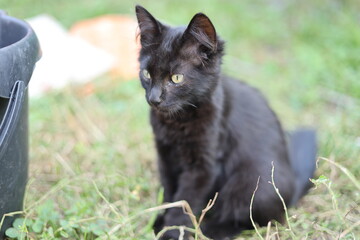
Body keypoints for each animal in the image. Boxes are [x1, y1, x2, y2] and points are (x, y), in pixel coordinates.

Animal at [134, 6, 316, 240]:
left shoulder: (205, 166)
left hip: (252, 183)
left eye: (176, 78)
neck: (176, 121)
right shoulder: (165, 156)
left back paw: (209, 229)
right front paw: (159, 222)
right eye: (147, 74)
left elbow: (185, 201)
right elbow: (169, 193)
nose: (154, 98)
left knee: (253, 220)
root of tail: (292, 188)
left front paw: (173, 232)